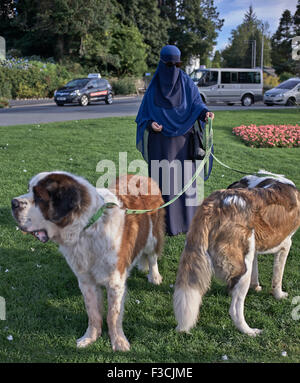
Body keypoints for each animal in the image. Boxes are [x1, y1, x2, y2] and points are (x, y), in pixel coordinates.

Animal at [11, 172, 165, 352]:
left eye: (39, 197)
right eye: (29, 189)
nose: (13, 202)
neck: (87, 228)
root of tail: (142, 176)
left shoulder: (115, 282)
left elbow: (113, 315)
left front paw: (118, 341)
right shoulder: (86, 281)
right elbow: (93, 312)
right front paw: (90, 338)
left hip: (152, 235)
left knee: (152, 256)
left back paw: (154, 276)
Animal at [173, 172, 300, 338]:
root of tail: (214, 205)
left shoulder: (254, 248)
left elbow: (256, 271)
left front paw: (256, 287)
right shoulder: (286, 245)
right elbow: (277, 277)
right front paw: (279, 295)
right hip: (242, 269)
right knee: (235, 309)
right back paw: (249, 331)